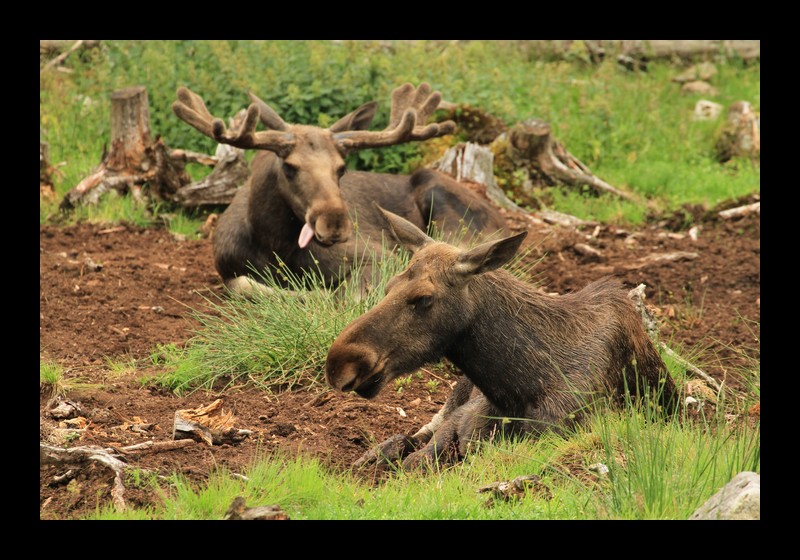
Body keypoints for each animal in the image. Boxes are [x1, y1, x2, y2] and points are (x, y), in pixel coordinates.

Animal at [172, 83, 506, 298]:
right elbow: (244, 286)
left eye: (341, 167)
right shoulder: (228, 269)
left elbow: (347, 293)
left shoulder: (378, 255)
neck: (273, 244)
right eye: (289, 167)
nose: (335, 224)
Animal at [328, 206, 680, 468]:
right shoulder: (459, 420)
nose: (339, 362)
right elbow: (420, 456)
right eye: (389, 286)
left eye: (423, 298)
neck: (517, 389)